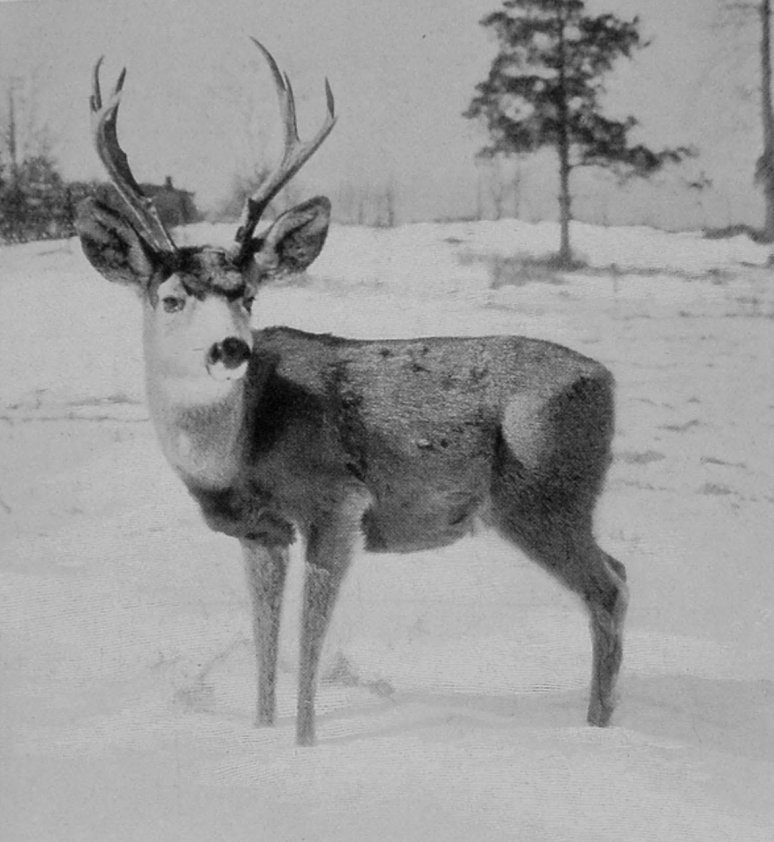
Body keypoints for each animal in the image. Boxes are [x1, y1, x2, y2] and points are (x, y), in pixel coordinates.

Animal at [75, 40, 629, 747]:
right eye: (171, 298)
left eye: (248, 295)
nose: (230, 349)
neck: (237, 451)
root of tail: (606, 379)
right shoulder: (260, 533)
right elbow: (265, 644)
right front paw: (260, 733)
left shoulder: (337, 503)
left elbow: (308, 646)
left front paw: (305, 746)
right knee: (618, 574)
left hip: (545, 496)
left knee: (608, 587)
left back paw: (598, 731)